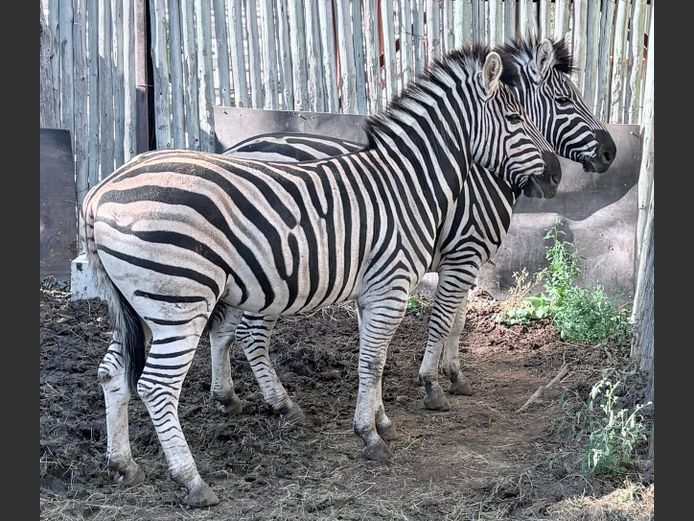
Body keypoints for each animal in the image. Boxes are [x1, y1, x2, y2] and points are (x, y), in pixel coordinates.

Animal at [83, 45, 561, 506]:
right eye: (516, 119)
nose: (556, 176)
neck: (409, 186)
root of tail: (101, 190)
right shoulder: (393, 285)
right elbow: (373, 360)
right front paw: (370, 436)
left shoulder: (373, 291)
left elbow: (375, 359)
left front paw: (381, 420)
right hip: (179, 300)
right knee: (158, 386)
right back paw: (192, 481)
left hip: (139, 304)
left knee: (112, 372)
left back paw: (124, 465)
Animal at [211, 38, 617, 420]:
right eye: (564, 100)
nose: (610, 153)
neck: (476, 176)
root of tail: (234, 150)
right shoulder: (462, 256)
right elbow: (441, 321)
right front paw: (432, 384)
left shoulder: (463, 261)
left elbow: (458, 321)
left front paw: (455, 376)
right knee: (248, 333)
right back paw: (282, 404)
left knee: (222, 328)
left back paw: (227, 397)